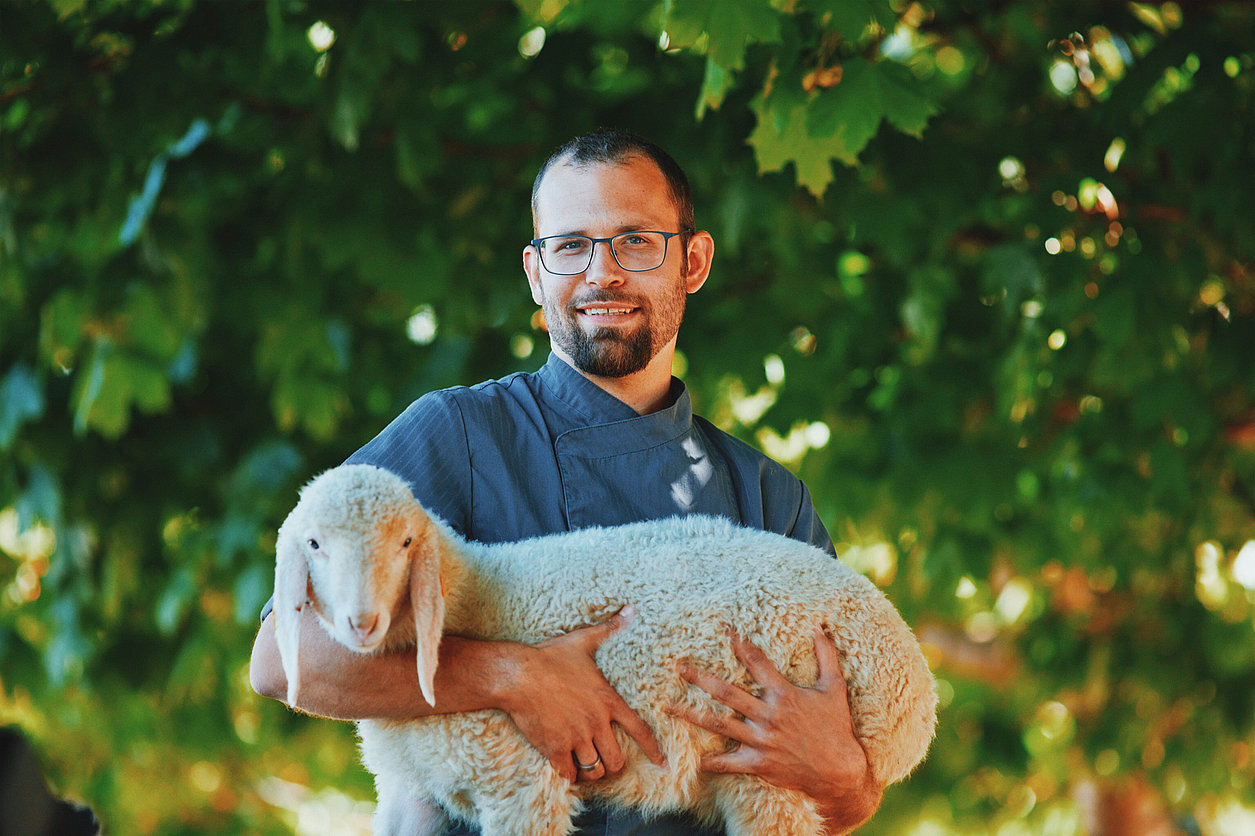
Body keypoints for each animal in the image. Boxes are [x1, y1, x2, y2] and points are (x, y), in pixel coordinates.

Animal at [273, 463, 937, 836]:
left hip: (776, 767)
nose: (362, 622)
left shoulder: (521, 780)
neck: (477, 596)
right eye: (313, 544)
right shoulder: (415, 792)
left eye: (406, 543)